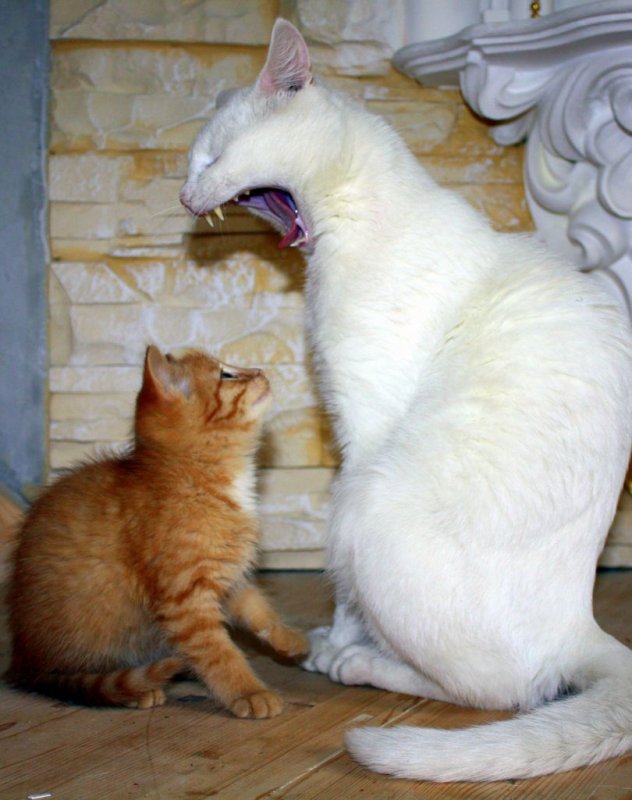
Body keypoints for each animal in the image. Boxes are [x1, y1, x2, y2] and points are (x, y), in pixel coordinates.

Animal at [7, 345, 308, 717]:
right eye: (226, 375)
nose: (260, 371)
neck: (196, 479)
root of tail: (20, 660)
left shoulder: (228, 575)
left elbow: (257, 607)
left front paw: (287, 637)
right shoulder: (185, 600)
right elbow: (218, 652)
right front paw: (249, 692)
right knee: (81, 683)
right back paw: (139, 689)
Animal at [179, 18, 632, 782]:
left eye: (211, 153)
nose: (184, 196)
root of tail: (580, 620)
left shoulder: (360, 432)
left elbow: (345, 594)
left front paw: (337, 642)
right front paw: (332, 636)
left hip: (369, 505)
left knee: (499, 692)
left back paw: (360, 664)